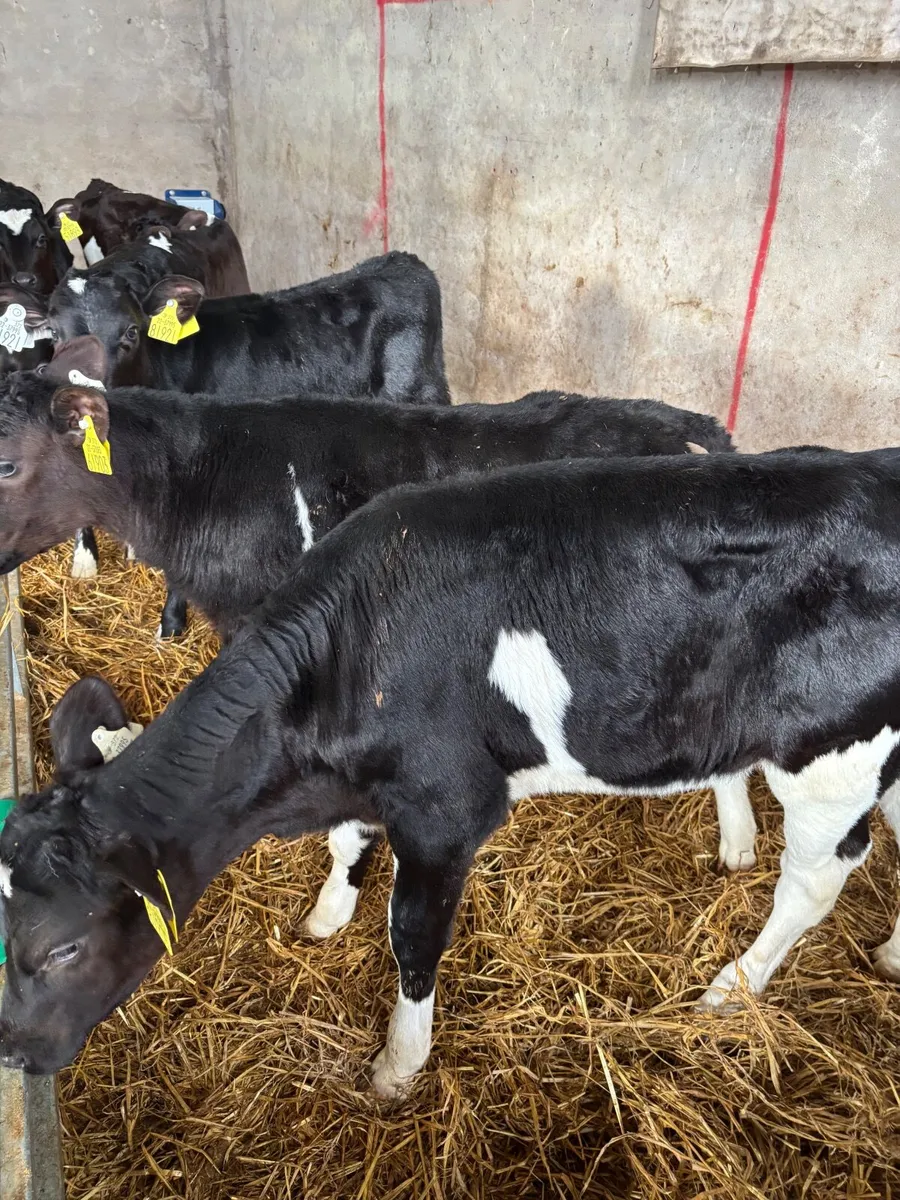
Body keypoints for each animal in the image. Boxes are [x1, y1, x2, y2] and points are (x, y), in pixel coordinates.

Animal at [2, 449, 900, 1098]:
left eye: (63, 947)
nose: (11, 1054)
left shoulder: (445, 810)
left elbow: (412, 937)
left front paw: (397, 1066)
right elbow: (346, 843)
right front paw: (328, 913)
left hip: (832, 757)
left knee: (815, 883)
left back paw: (731, 985)